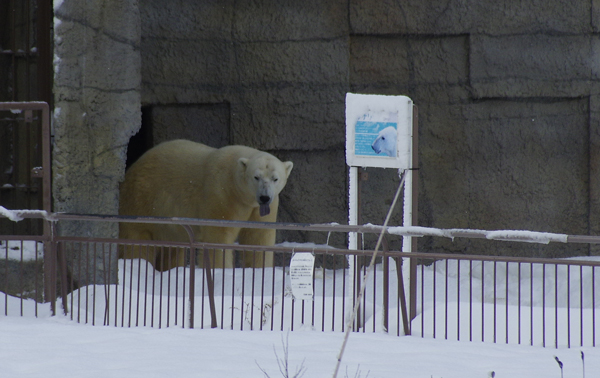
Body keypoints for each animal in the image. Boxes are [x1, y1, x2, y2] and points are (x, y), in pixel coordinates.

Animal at [118, 140, 292, 270]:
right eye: (256, 177)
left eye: (275, 178)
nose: (264, 197)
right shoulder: (221, 194)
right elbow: (218, 237)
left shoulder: (260, 208)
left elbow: (258, 237)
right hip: (140, 201)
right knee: (136, 243)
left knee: (173, 250)